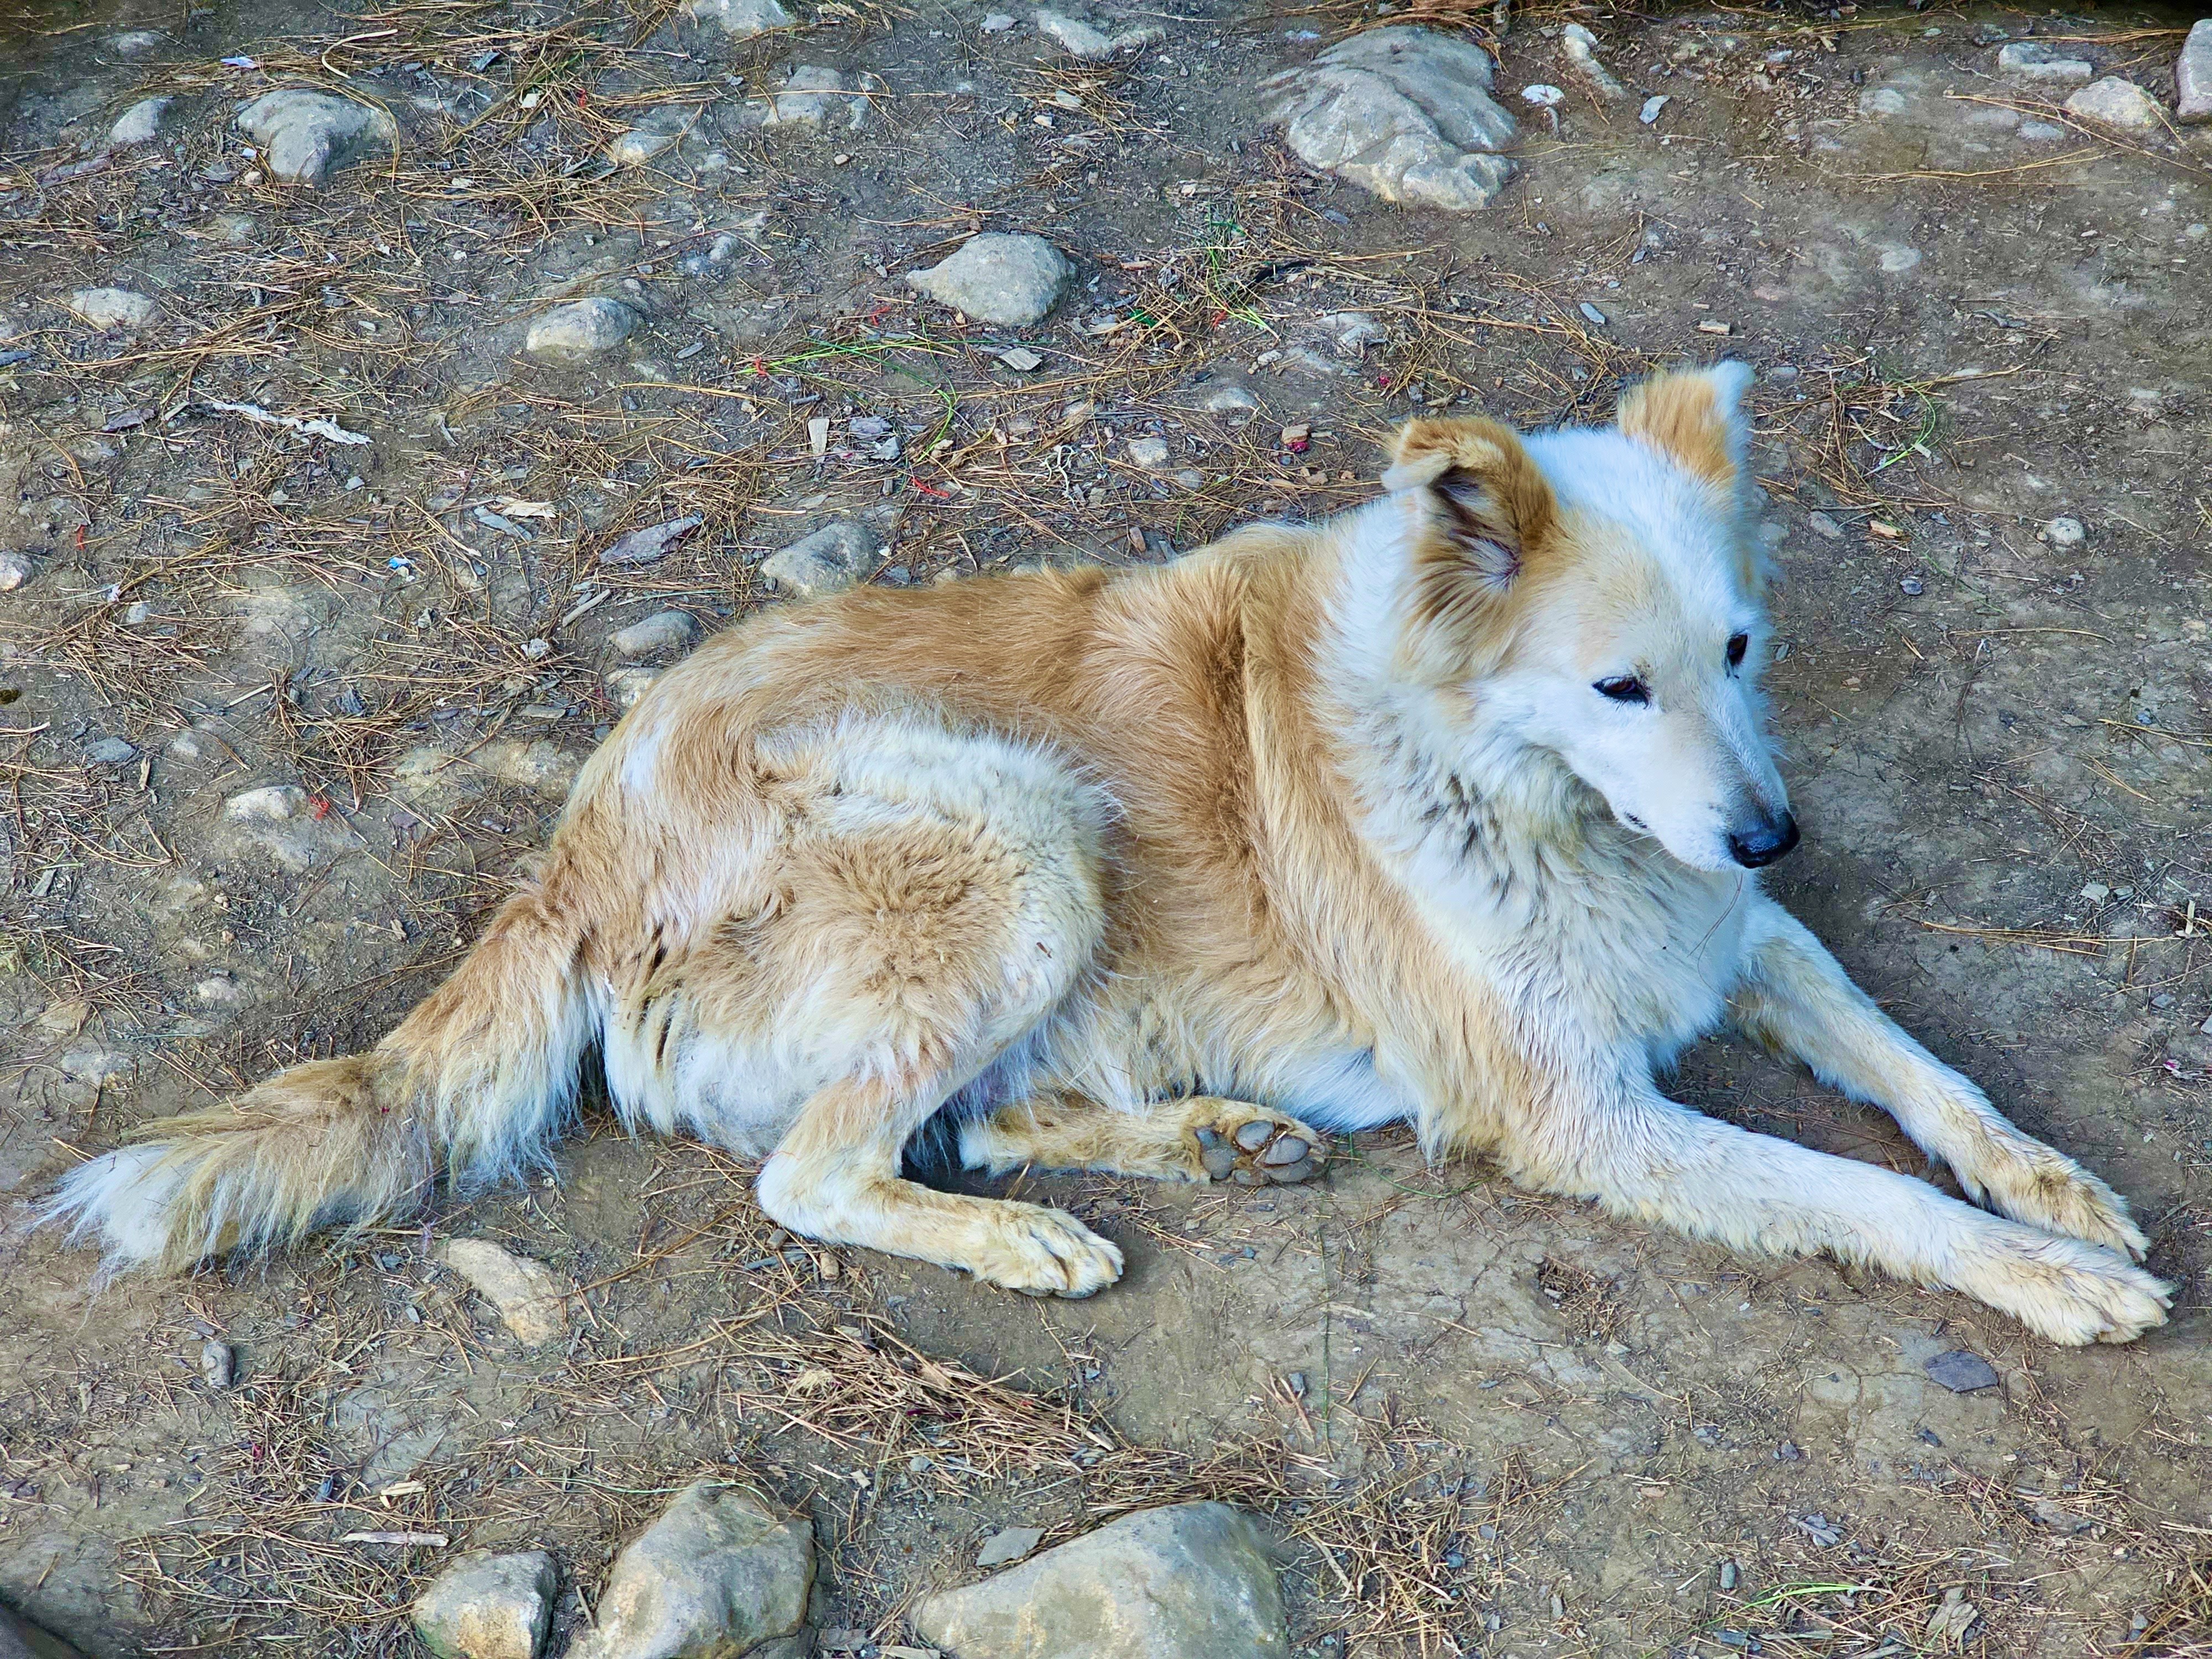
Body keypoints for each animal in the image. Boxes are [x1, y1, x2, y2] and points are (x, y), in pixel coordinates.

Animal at [43, 367, 2168, 1354]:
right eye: (1615, 685)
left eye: (1737, 650)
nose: (1773, 826)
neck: (1497, 774)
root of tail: (577, 836)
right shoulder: (1579, 1105)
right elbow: (1855, 1189)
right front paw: (2041, 1276)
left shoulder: (1734, 930)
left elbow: (1911, 1062)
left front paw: (2051, 1184)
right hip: (1022, 832)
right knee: (824, 1172)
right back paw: (1031, 1238)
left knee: (973, 1115)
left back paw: (1208, 1144)